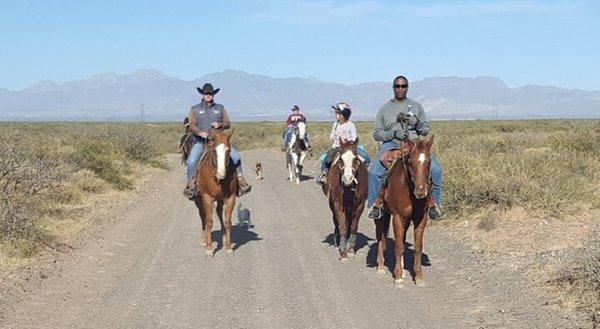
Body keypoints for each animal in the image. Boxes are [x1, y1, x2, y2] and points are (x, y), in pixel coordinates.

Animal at [378, 135, 434, 284]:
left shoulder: (420, 218)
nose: (420, 192)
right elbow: (398, 246)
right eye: (411, 162)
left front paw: (418, 276)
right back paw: (380, 266)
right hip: (382, 215)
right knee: (380, 236)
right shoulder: (397, 217)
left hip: (406, 219)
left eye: (429, 162)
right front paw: (397, 276)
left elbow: (417, 247)